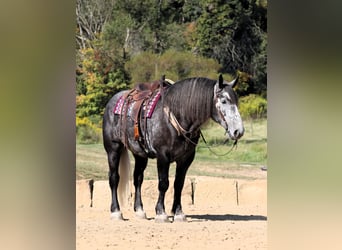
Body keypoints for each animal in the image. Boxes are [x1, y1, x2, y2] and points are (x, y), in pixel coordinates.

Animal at [101, 74, 243, 223]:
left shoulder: (186, 159)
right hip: (113, 149)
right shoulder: (163, 156)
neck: (177, 116)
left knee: (138, 178)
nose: (238, 131)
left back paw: (140, 211)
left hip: (140, 154)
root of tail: (113, 100)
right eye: (224, 101)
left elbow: (178, 184)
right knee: (114, 178)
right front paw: (161, 213)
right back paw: (116, 212)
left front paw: (178, 213)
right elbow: (164, 183)